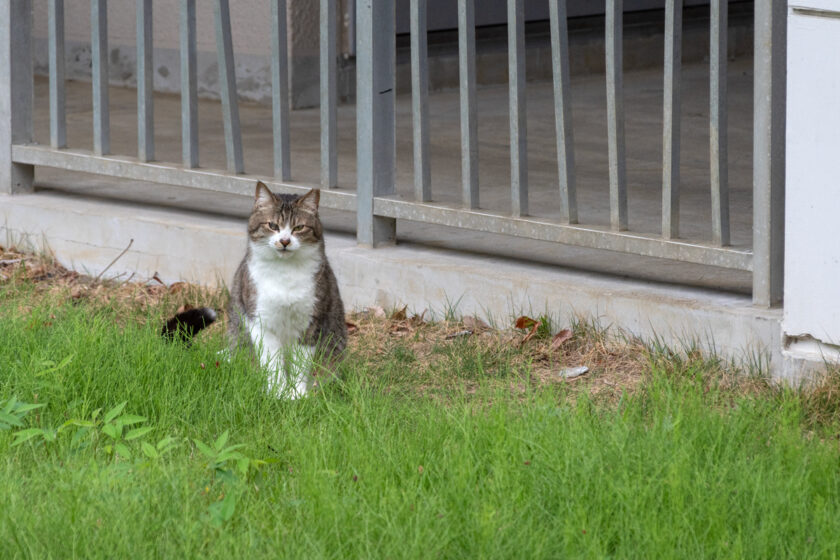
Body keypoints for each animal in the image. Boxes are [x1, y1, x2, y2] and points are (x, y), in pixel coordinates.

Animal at [162, 180, 346, 398]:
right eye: (272, 226)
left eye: (299, 227)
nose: (285, 241)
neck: (284, 273)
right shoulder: (260, 320)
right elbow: (272, 362)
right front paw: (278, 391)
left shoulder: (312, 321)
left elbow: (301, 364)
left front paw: (297, 394)